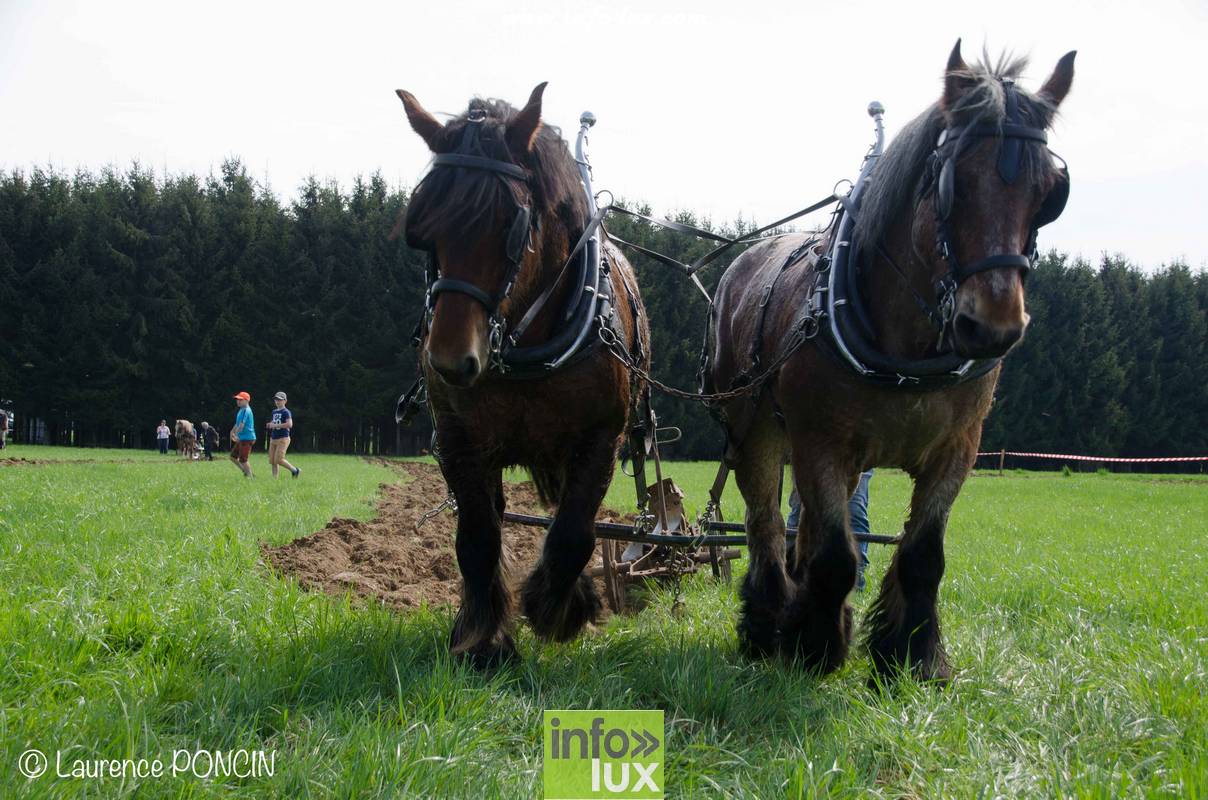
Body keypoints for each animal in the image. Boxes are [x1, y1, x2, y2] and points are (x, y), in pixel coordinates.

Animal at [393, 84, 652, 667]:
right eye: (422, 228)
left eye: (512, 223)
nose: (450, 361)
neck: (527, 346)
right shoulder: (458, 440)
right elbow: (477, 538)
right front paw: (482, 638)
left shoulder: (602, 437)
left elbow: (574, 532)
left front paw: (558, 610)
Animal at [705, 43, 1077, 681]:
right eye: (952, 181)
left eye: (1051, 192)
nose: (993, 326)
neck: (908, 353)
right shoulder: (820, 442)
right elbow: (834, 555)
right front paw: (814, 647)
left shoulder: (958, 448)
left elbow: (922, 553)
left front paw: (914, 653)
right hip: (754, 431)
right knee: (766, 526)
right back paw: (766, 622)